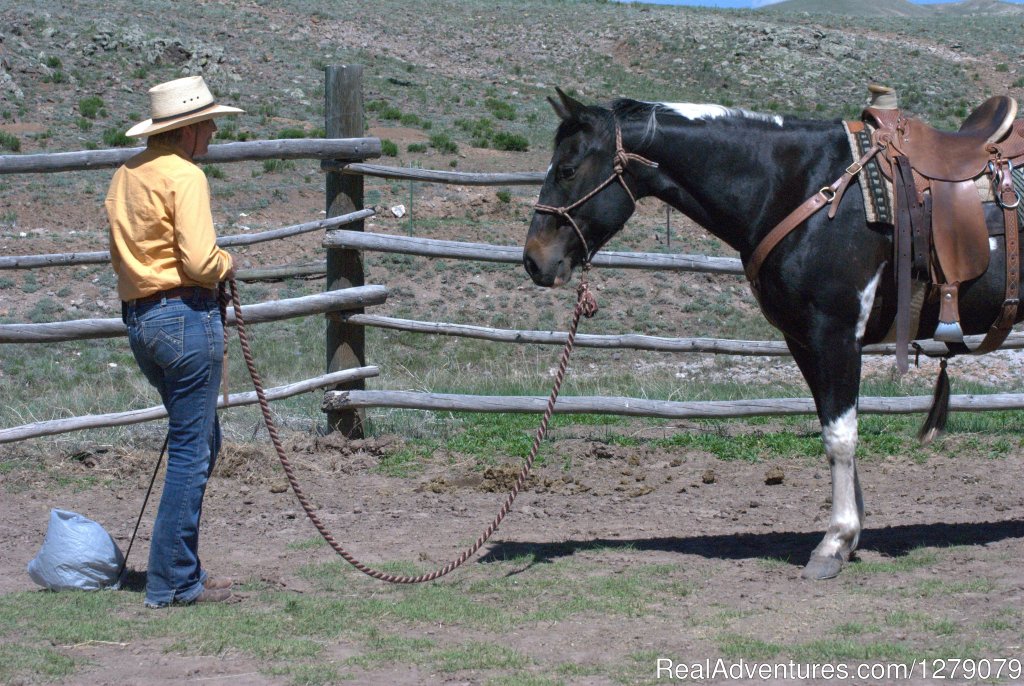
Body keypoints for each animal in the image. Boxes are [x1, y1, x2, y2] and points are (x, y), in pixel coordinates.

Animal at [524, 87, 1019, 581]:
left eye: (567, 169)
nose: (533, 260)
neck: (798, 187)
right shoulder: (804, 341)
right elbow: (832, 428)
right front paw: (850, 537)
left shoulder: (835, 333)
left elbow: (841, 435)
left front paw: (834, 543)